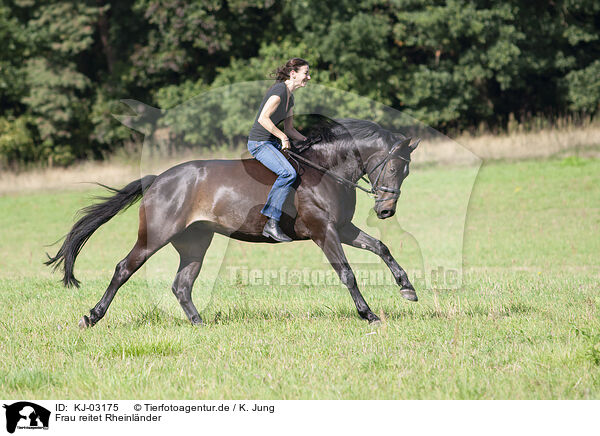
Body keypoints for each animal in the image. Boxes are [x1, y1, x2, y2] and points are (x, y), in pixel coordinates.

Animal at [47, 117, 420, 328]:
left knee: (182, 284)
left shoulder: (342, 229)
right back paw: (91, 317)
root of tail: (157, 180)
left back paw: (200, 324)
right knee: (124, 268)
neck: (326, 171)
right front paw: (368, 315)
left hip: (195, 242)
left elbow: (381, 247)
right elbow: (347, 273)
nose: (386, 212)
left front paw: (407, 287)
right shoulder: (324, 232)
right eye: (392, 167)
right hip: (155, 237)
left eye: (406, 172)